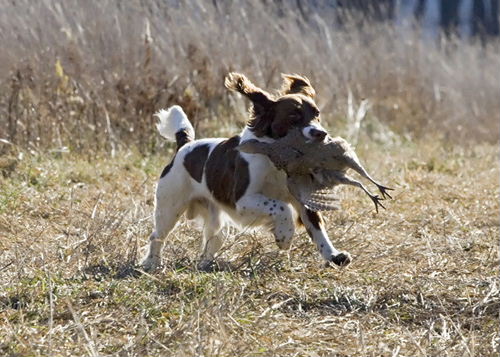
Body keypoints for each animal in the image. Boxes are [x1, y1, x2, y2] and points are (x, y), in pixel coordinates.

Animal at [141, 71, 352, 270]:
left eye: (317, 114)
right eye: (294, 117)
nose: (321, 134)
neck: (276, 161)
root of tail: (185, 145)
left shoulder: (303, 198)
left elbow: (318, 230)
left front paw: (335, 256)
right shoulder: (243, 200)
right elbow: (280, 206)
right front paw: (284, 237)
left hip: (214, 219)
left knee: (212, 240)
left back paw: (206, 264)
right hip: (169, 206)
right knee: (157, 236)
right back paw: (153, 263)